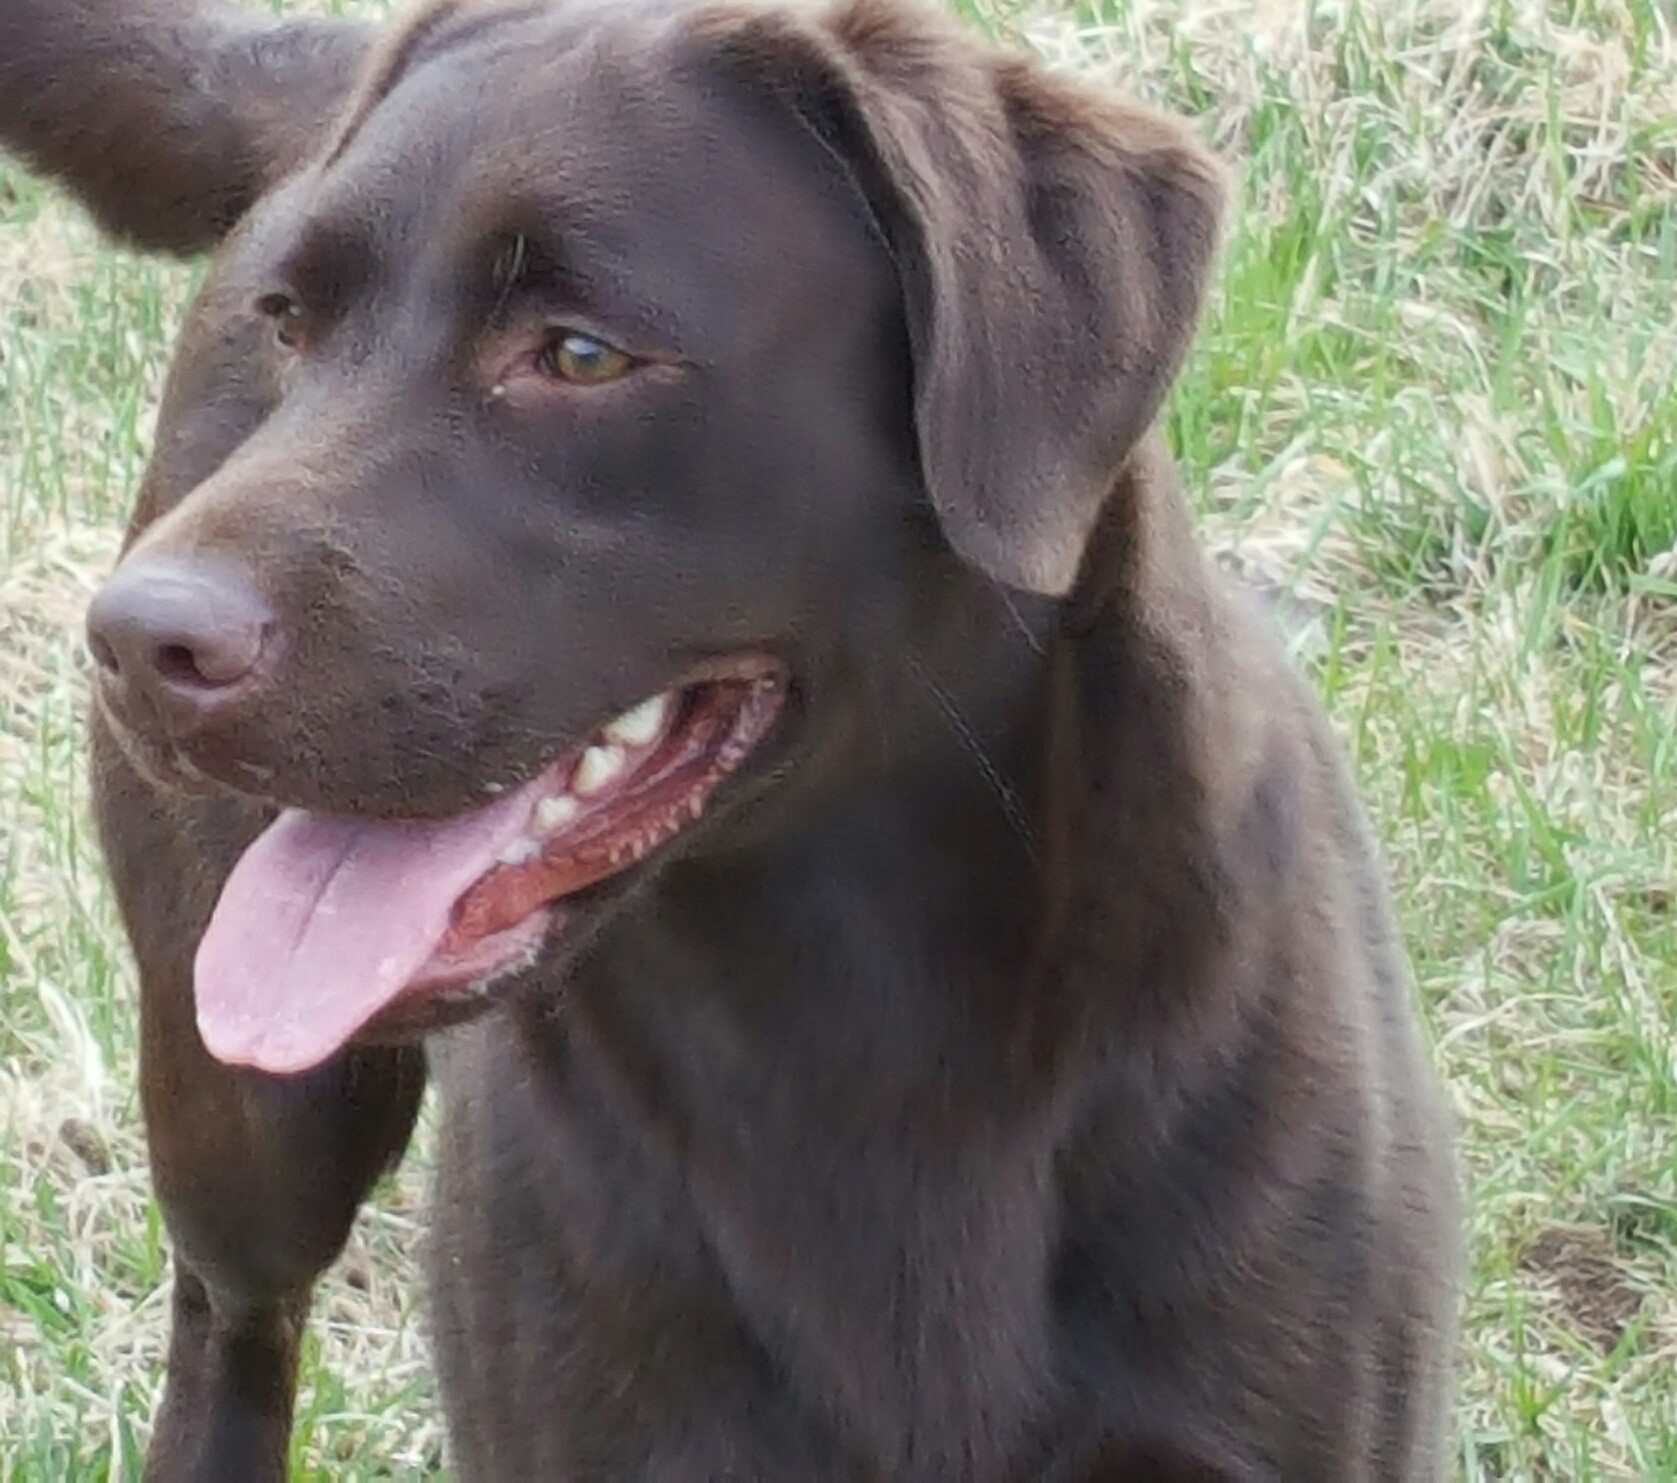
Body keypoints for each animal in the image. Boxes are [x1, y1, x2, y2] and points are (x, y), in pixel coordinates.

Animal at [0, 0, 1462, 1469]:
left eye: (581, 354)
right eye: (292, 330)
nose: (137, 642)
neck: (846, 998)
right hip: (255, 1100)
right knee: (234, 1310)